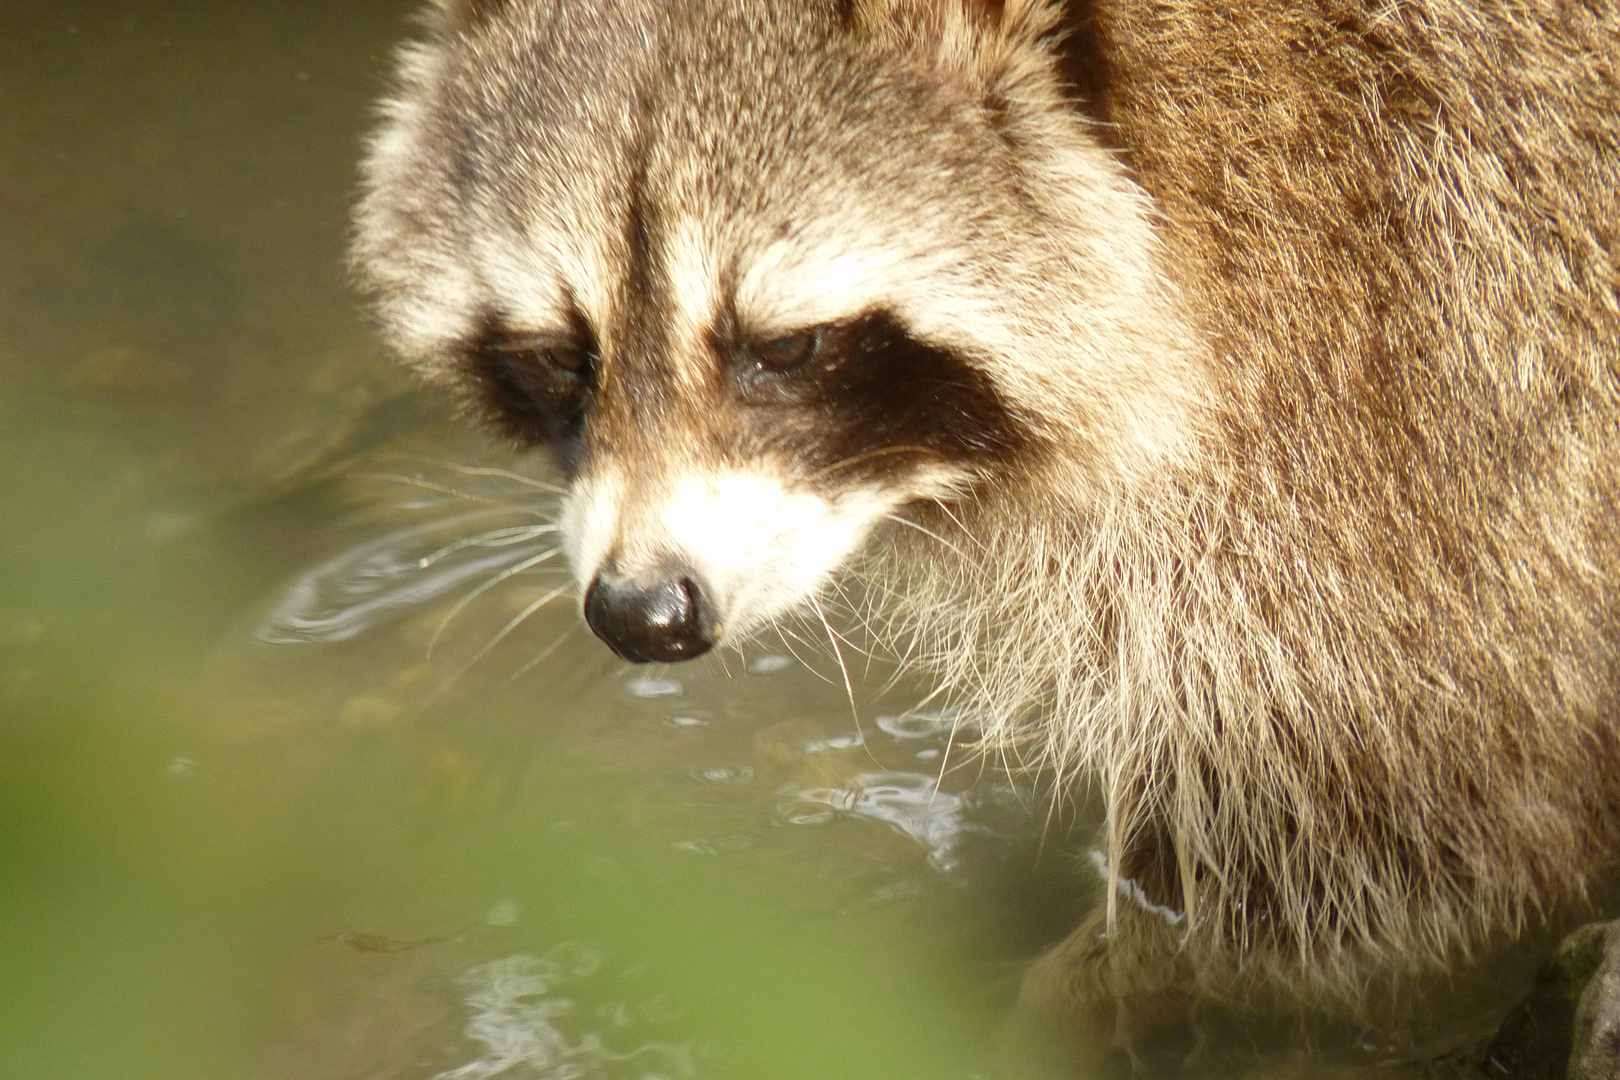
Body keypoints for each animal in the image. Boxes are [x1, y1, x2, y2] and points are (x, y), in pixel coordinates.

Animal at [354, 0, 1620, 1029]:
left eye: (786, 349)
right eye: (558, 355)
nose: (642, 611)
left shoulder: (1396, 409)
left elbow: (1395, 841)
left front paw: (1090, 993)